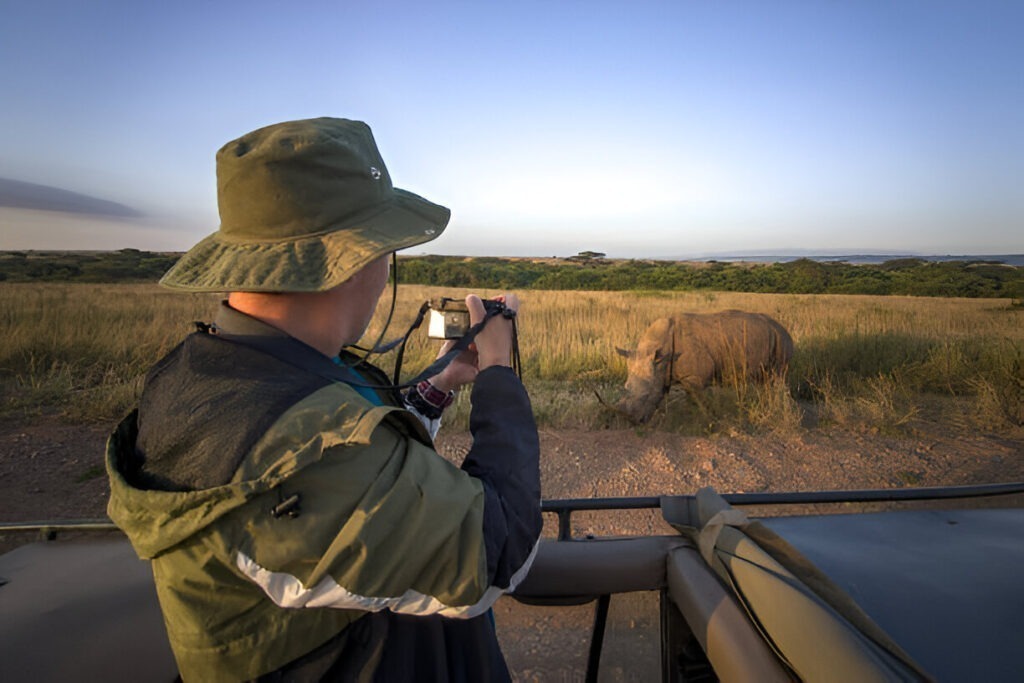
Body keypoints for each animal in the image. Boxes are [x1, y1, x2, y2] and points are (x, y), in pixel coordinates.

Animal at [614, 310, 794, 423]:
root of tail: (783, 328)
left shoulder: (694, 377)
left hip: (782, 340)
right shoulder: (667, 373)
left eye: (646, 395)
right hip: (770, 337)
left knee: (778, 376)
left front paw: (709, 419)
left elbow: (697, 399)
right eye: (625, 387)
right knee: (765, 379)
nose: (632, 421)